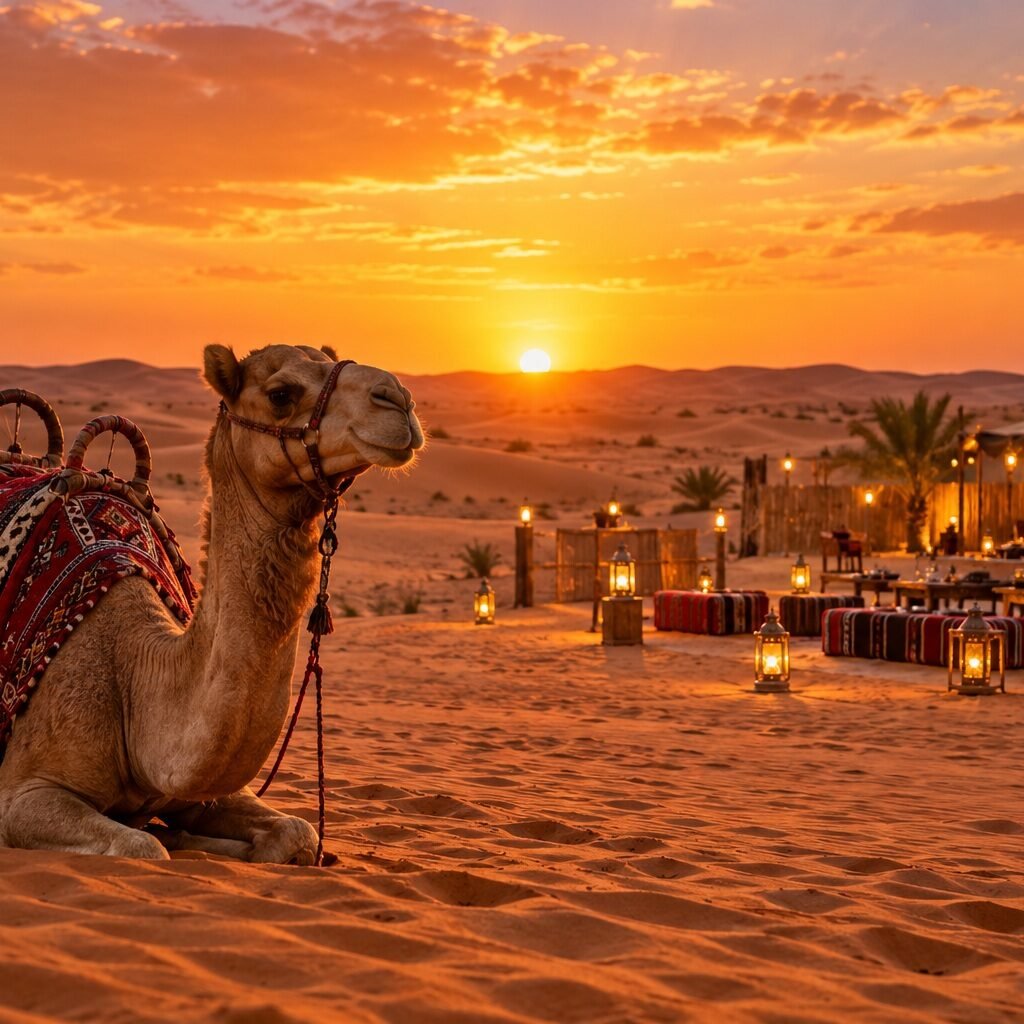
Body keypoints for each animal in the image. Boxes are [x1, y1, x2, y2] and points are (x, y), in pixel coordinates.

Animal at [0, 344, 423, 863]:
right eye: (281, 394)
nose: (398, 398)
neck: (138, 676)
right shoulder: (23, 794)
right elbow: (144, 847)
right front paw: (173, 839)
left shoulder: (201, 791)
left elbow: (298, 833)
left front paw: (198, 840)